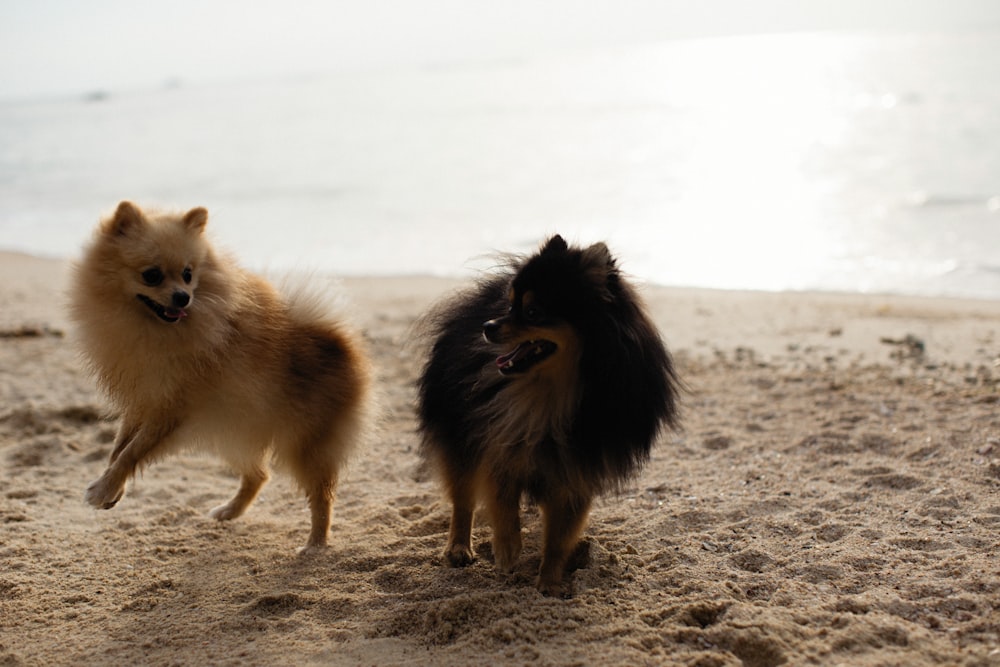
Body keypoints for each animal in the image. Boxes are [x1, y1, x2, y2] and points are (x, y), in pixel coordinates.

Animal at [71, 201, 372, 552]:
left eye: (188, 274)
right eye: (152, 275)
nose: (183, 297)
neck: (156, 330)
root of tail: (338, 341)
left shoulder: (170, 409)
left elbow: (132, 452)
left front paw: (103, 490)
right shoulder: (144, 402)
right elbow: (119, 449)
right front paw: (111, 489)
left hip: (307, 444)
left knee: (321, 495)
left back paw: (315, 543)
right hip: (236, 430)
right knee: (259, 475)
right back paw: (230, 511)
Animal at [414, 234, 680, 596]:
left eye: (532, 312)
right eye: (510, 305)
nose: (488, 325)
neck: (550, 395)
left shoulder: (577, 468)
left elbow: (559, 535)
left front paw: (551, 583)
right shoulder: (501, 440)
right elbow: (501, 500)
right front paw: (507, 549)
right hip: (459, 434)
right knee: (463, 497)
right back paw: (458, 548)